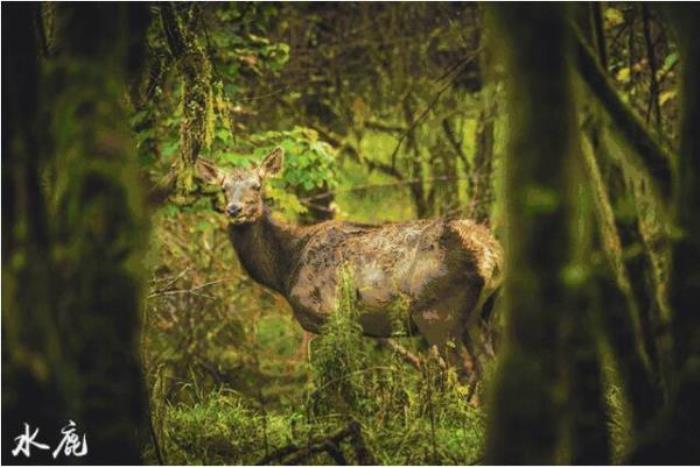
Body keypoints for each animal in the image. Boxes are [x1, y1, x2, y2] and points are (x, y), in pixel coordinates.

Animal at [197, 147, 504, 392]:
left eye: (257, 185)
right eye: (223, 188)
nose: (234, 210)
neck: (286, 268)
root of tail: (491, 256)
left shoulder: (328, 314)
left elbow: (336, 379)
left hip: (437, 312)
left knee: (463, 371)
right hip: (480, 315)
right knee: (488, 367)